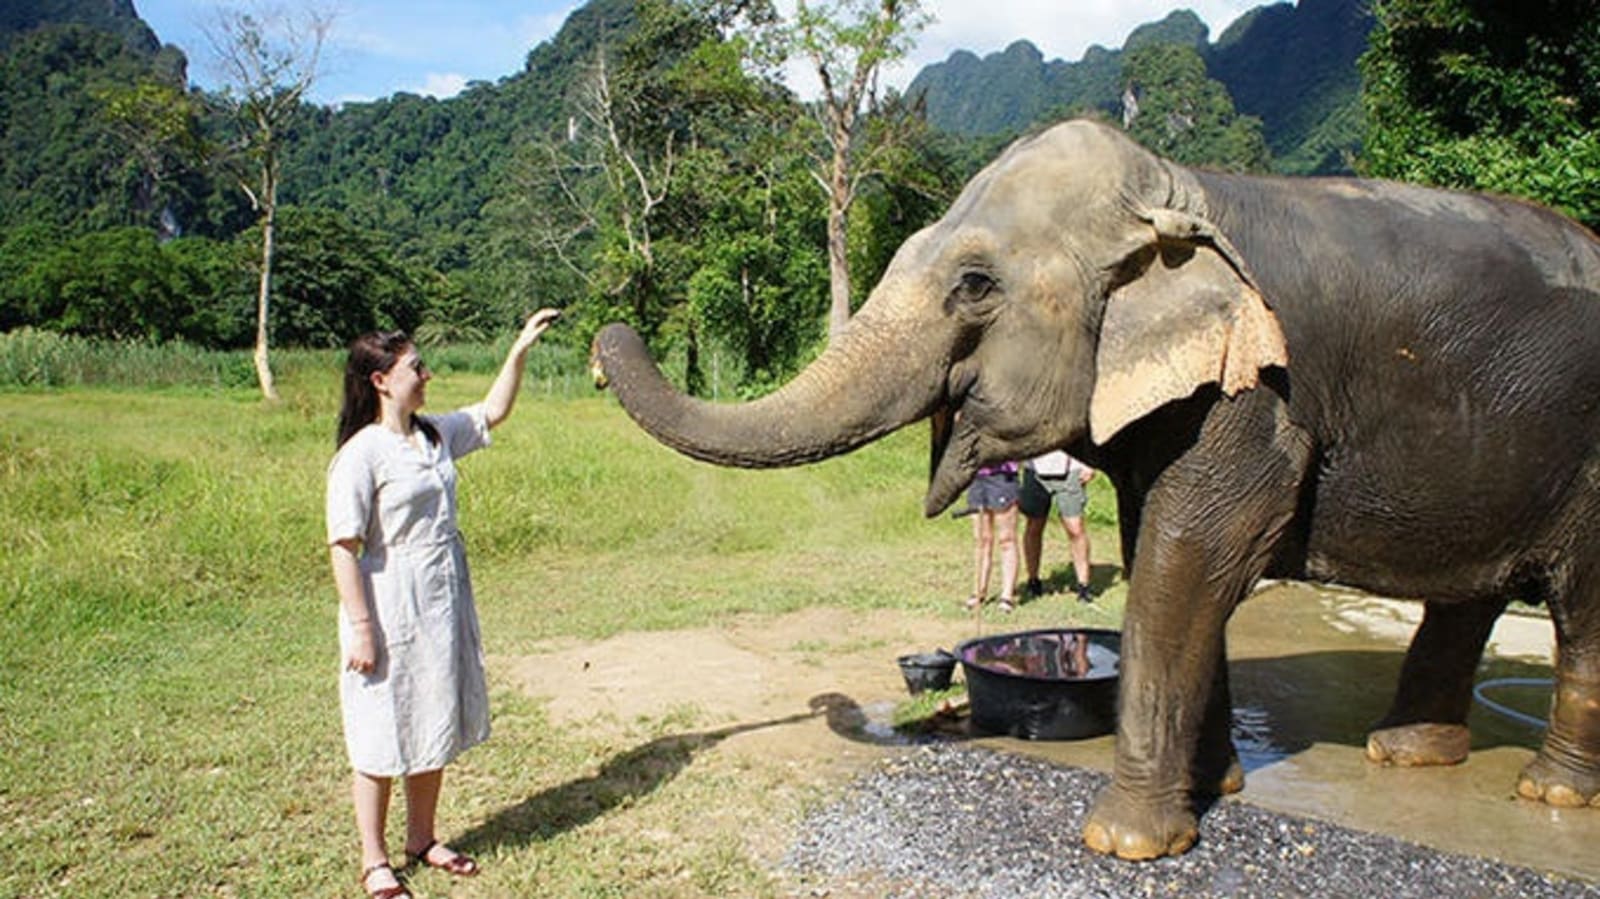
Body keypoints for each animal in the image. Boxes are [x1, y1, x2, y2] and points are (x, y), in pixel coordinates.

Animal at [589, 118, 1600, 860]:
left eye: (974, 285)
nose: (606, 334)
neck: (1180, 191)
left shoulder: (1260, 394)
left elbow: (1188, 560)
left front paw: (1124, 843)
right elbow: (1162, 545)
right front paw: (1214, 790)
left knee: (1583, 609)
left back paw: (1549, 790)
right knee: (1467, 596)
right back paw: (1410, 753)